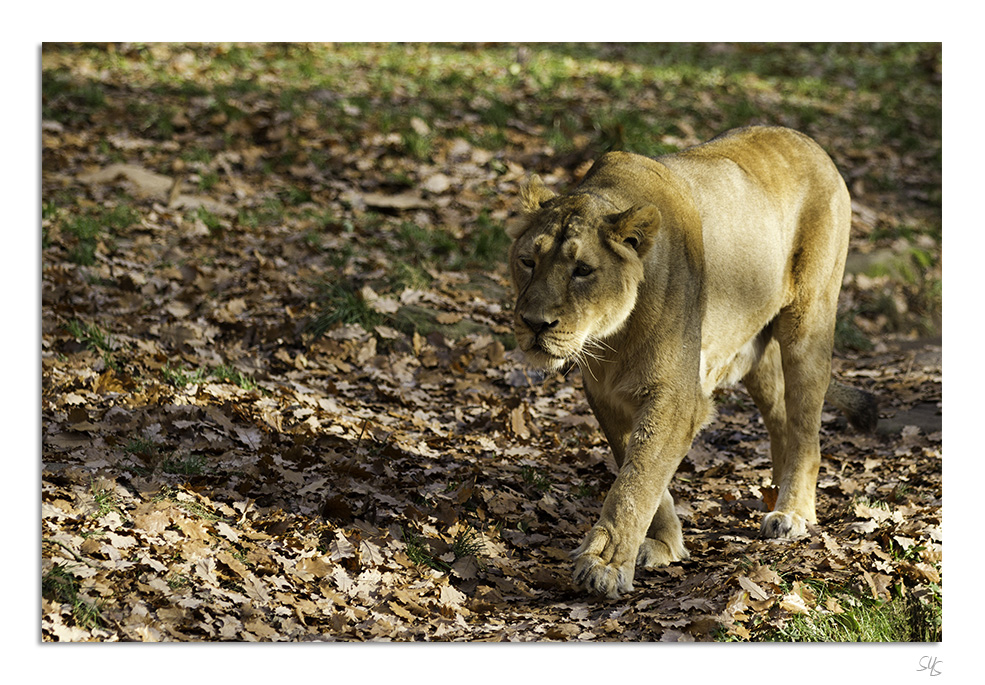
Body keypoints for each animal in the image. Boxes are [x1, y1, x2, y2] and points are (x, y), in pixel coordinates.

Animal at [508, 125, 876, 596]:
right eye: (527, 262)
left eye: (583, 271)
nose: (534, 324)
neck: (611, 339)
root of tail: (809, 142)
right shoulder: (608, 397)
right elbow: (641, 472)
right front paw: (663, 545)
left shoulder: (677, 398)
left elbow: (635, 482)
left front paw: (604, 565)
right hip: (755, 350)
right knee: (782, 419)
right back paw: (778, 494)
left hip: (808, 324)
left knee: (806, 430)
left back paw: (793, 512)